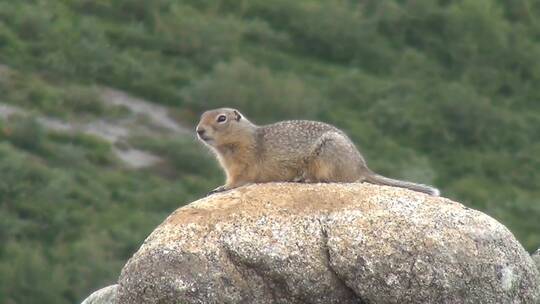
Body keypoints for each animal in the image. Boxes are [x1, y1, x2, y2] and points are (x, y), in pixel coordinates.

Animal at [196, 108, 440, 196]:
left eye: (221, 118)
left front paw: (220, 188)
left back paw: (304, 179)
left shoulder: (242, 164)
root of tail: (362, 168)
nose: (198, 130)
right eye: (201, 116)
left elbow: (236, 181)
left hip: (326, 156)